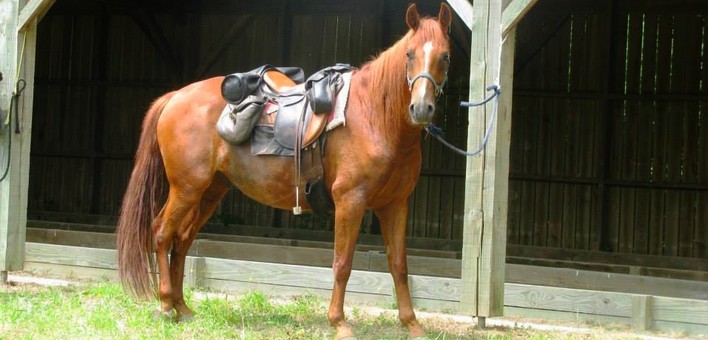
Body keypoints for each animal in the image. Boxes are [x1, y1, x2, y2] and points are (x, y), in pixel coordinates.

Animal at [114, 2, 450, 338]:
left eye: (445, 56)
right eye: (409, 54)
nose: (421, 109)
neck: (372, 116)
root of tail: (176, 96)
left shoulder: (395, 205)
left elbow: (399, 265)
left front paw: (412, 324)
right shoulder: (350, 201)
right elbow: (342, 263)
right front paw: (339, 322)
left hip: (209, 192)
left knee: (182, 240)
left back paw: (183, 308)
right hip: (186, 188)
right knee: (162, 232)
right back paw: (165, 305)